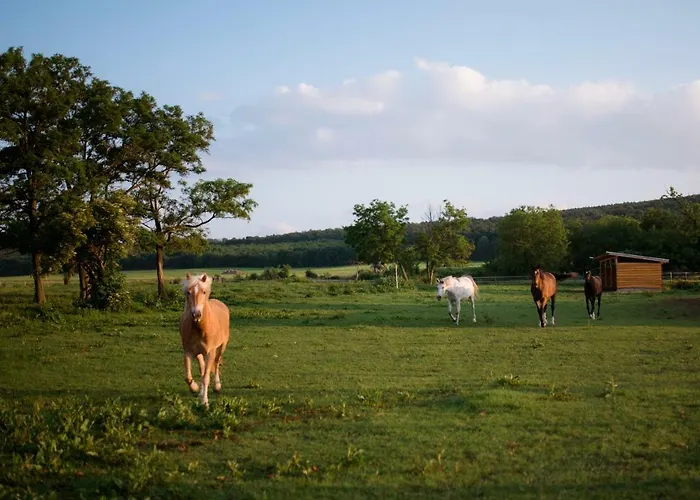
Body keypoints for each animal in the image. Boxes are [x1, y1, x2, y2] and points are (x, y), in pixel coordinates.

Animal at [180, 272, 230, 408]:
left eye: (203, 292)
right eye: (188, 292)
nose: (196, 315)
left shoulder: (210, 352)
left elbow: (206, 377)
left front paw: (204, 401)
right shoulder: (188, 352)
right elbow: (188, 377)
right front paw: (195, 388)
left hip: (221, 347)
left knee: (216, 364)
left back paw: (217, 386)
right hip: (199, 353)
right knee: (202, 368)